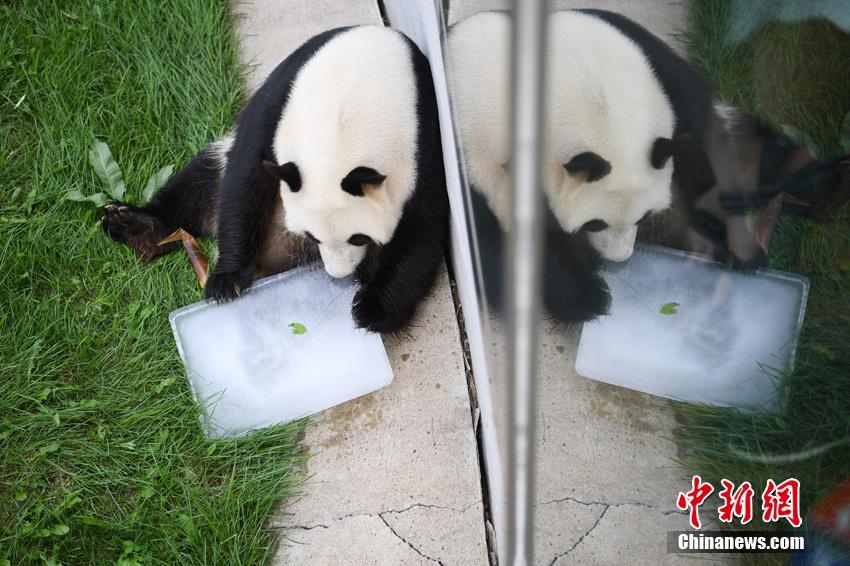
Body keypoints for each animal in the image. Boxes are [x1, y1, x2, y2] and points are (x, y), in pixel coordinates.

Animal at [102, 26, 449, 333]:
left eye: (359, 238)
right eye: (312, 236)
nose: (339, 273)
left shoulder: (421, 141)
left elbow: (422, 227)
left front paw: (372, 308)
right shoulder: (280, 102)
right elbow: (244, 180)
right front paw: (227, 281)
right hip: (217, 158)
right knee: (196, 187)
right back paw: (134, 226)